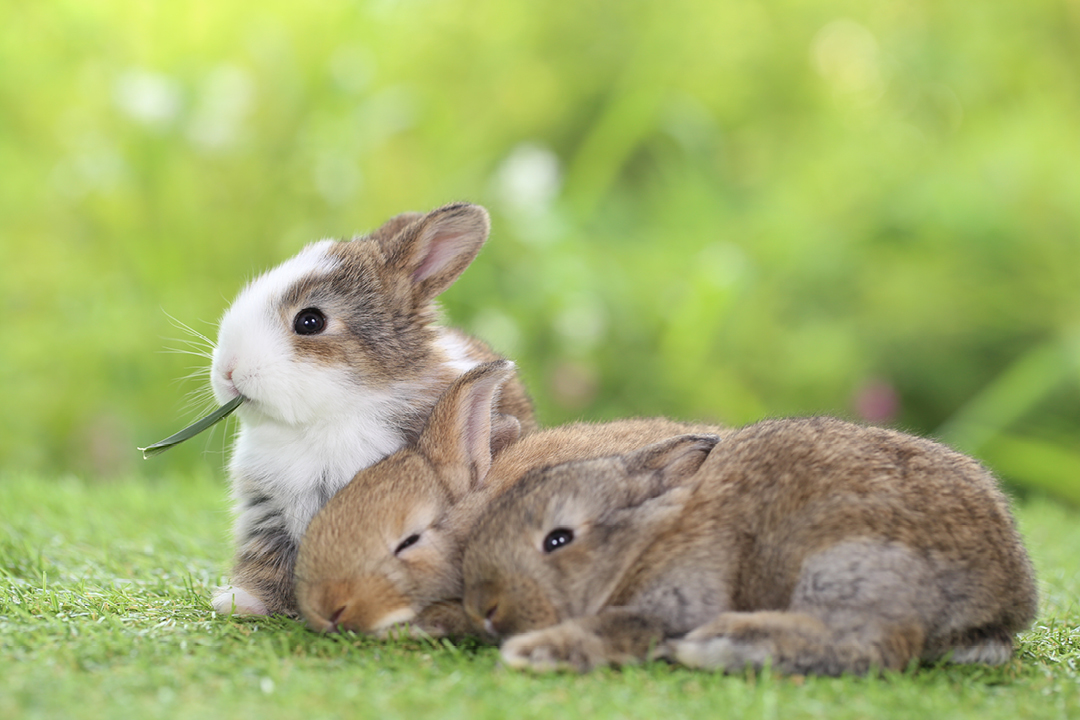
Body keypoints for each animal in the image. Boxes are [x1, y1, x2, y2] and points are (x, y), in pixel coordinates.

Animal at [203, 204, 535, 621]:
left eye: (310, 321)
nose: (227, 370)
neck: (326, 419)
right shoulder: (267, 511)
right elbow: (267, 558)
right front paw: (241, 602)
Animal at [462, 416, 1036, 677]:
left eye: (557, 539)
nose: (484, 609)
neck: (644, 541)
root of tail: (1007, 600)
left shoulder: (676, 598)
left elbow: (617, 628)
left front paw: (529, 652)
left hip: (845, 564)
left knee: (867, 646)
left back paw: (716, 645)